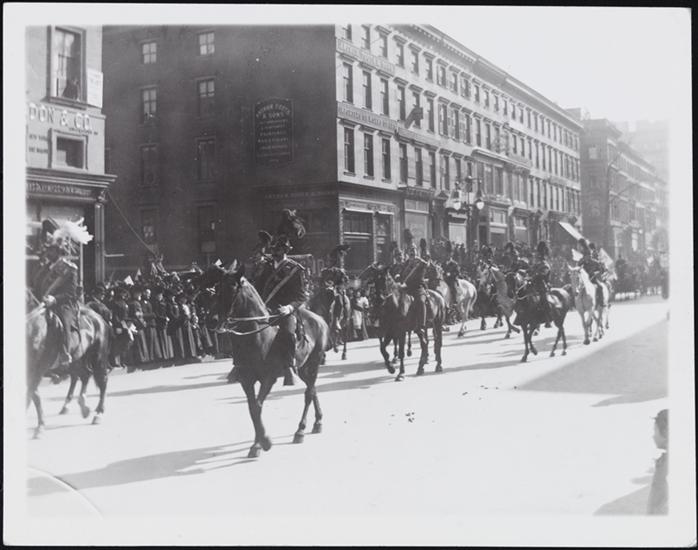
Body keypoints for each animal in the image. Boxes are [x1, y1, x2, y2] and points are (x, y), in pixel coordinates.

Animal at [26, 303, 111, 438]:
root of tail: (98, 316)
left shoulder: (38, 370)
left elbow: (32, 396)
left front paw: (40, 427)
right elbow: (34, 396)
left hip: (98, 357)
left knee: (101, 381)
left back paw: (98, 413)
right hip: (76, 361)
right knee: (84, 375)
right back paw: (81, 405)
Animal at [206, 264, 331, 458]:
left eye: (232, 288)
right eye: (217, 288)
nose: (211, 320)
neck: (257, 337)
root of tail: (319, 319)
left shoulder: (268, 378)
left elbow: (257, 406)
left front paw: (263, 442)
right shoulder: (246, 380)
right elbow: (252, 408)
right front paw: (257, 443)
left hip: (314, 362)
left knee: (309, 393)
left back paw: (300, 431)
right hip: (302, 368)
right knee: (313, 389)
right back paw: (317, 422)